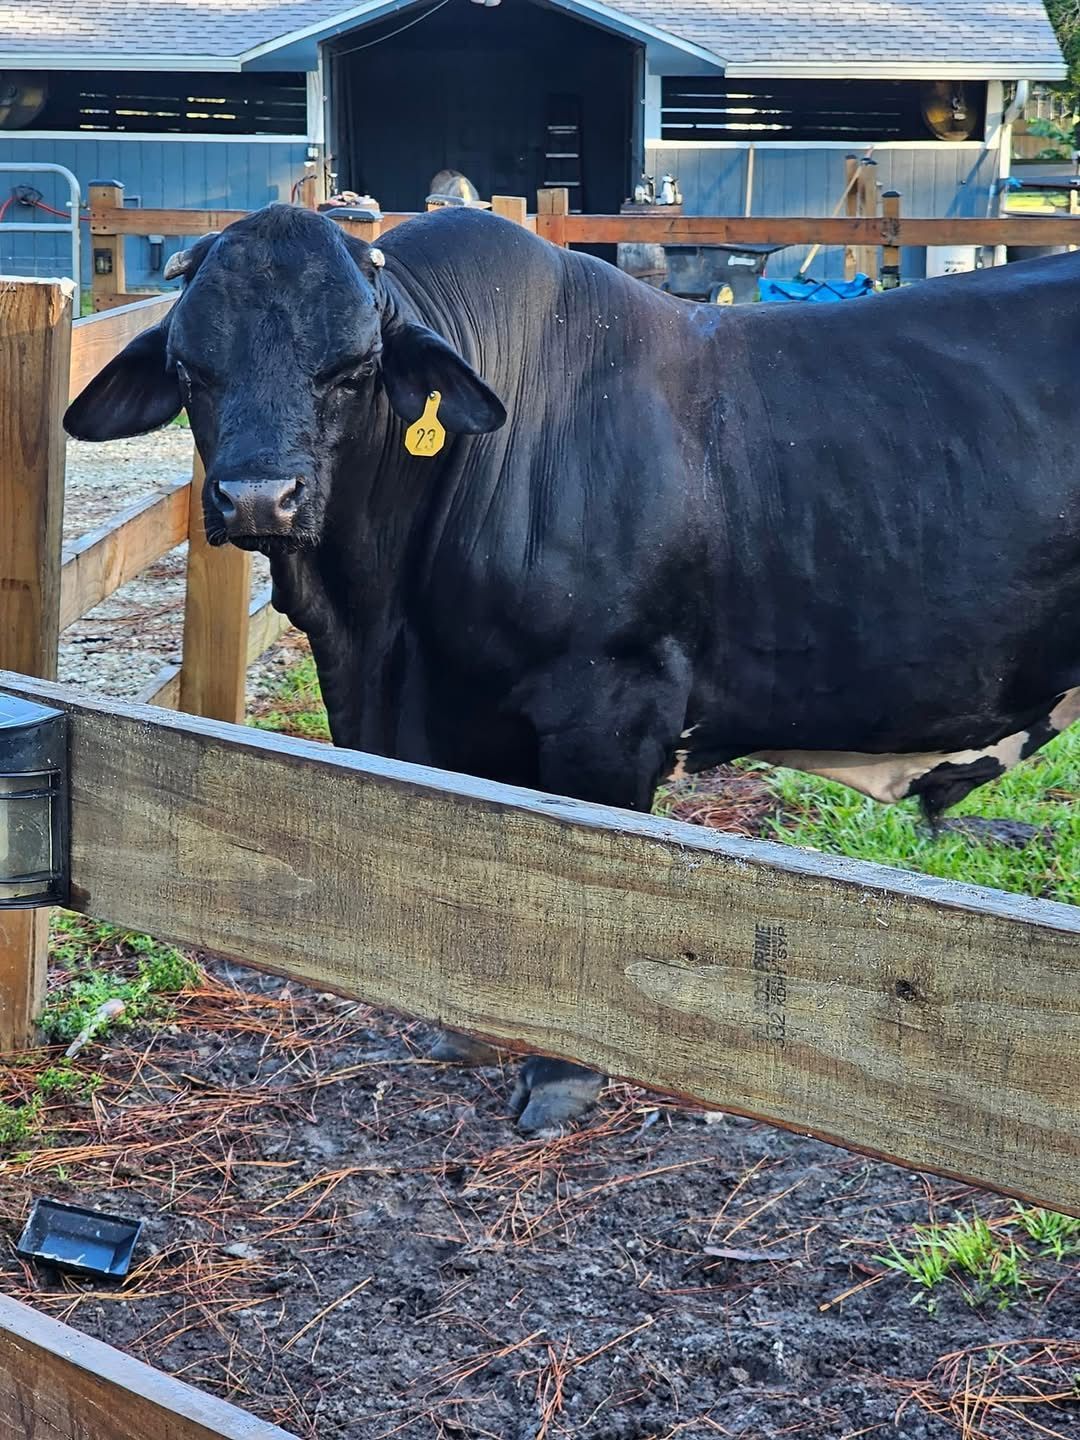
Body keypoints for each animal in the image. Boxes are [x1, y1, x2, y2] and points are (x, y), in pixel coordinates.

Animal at [65, 200, 1080, 1123]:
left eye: (353, 369)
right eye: (190, 368)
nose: (257, 497)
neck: (379, 626)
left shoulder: (609, 710)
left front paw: (560, 1075)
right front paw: (467, 1029)